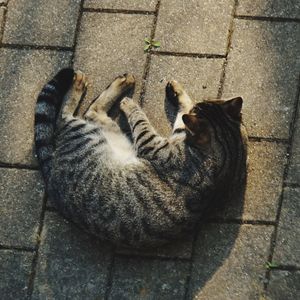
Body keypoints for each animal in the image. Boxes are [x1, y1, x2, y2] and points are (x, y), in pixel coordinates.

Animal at [34, 69, 247, 247]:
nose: (197, 106)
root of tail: (51, 176)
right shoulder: (178, 133)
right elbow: (183, 112)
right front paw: (177, 92)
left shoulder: (151, 143)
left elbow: (141, 120)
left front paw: (130, 104)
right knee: (89, 112)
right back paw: (120, 82)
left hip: (89, 134)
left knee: (70, 115)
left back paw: (85, 84)